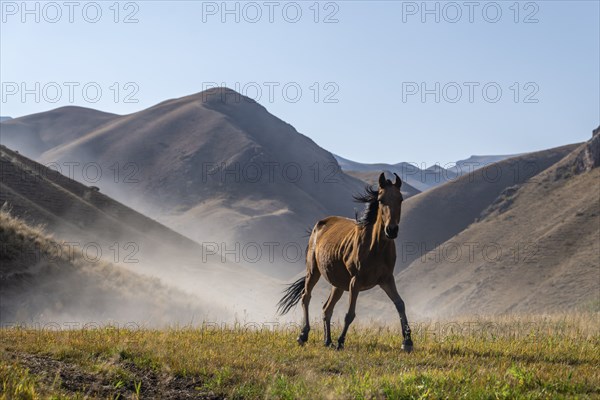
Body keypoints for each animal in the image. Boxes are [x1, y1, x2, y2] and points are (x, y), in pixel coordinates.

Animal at [276, 172, 412, 350]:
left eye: (400, 199)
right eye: (381, 200)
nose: (391, 230)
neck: (375, 247)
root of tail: (318, 226)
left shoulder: (387, 279)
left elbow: (400, 304)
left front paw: (407, 342)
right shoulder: (356, 281)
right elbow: (350, 314)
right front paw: (341, 341)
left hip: (338, 284)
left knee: (327, 308)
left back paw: (327, 341)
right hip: (313, 271)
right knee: (306, 297)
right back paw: (303, 335)